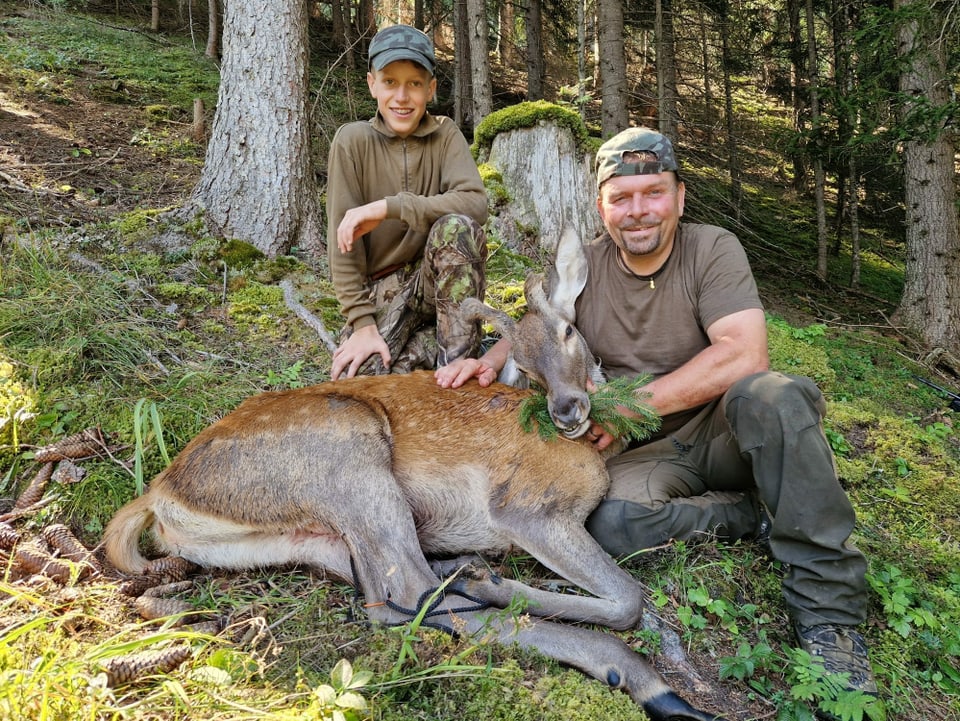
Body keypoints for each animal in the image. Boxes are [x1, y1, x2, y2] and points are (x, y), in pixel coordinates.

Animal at [105, 231, 732, 720]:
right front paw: (501, 583)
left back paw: (471, 573)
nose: (568, 411)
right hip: (350, 449)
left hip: (307, 539)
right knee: (409, 592)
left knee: (386, 597)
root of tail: (159, 493)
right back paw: (635, 676)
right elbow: (628, 598)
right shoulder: (526, 507)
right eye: (524, 367)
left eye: (570, 333)